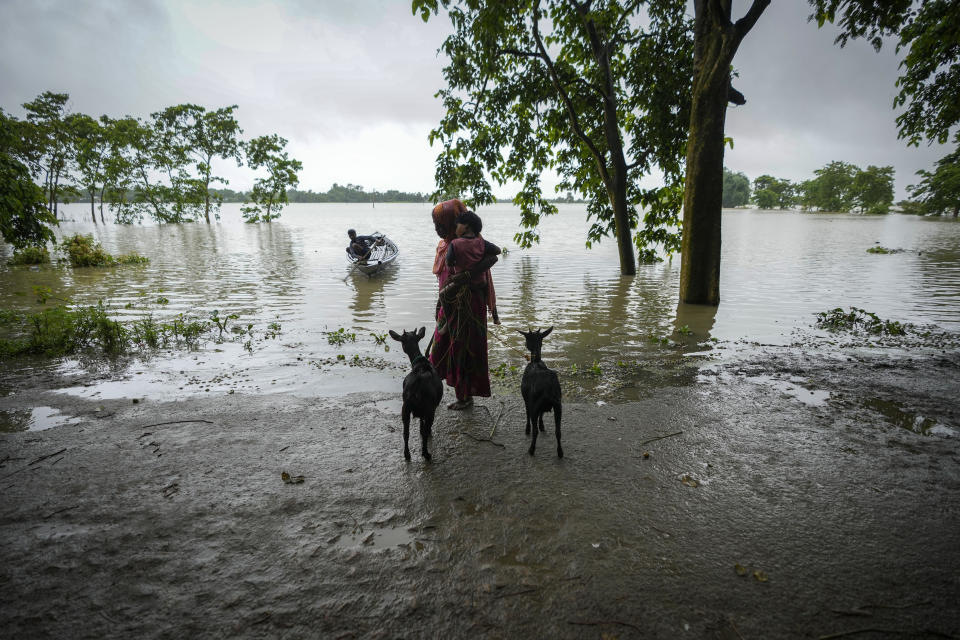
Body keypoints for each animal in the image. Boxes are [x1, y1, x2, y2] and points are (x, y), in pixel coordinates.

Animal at [386, 330, 442, 460]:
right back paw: (426, 453)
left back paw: (407, 454)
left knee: (406, 433)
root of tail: (418, 381)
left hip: (405, 408)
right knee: (425, 432)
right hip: (429, 409)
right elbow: (424, 427)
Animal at [516, 328, 564, 458]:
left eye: (526, 340)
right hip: (558, 405)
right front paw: (542, 425)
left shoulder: (527, 400)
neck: (536, 361)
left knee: (535, 430)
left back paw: (531, 450)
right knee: (558, 431)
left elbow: (527, 414)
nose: (525, 345)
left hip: (535, 404)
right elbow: (542, 415)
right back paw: (560, 452)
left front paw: (527, 429)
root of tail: (548, 388)